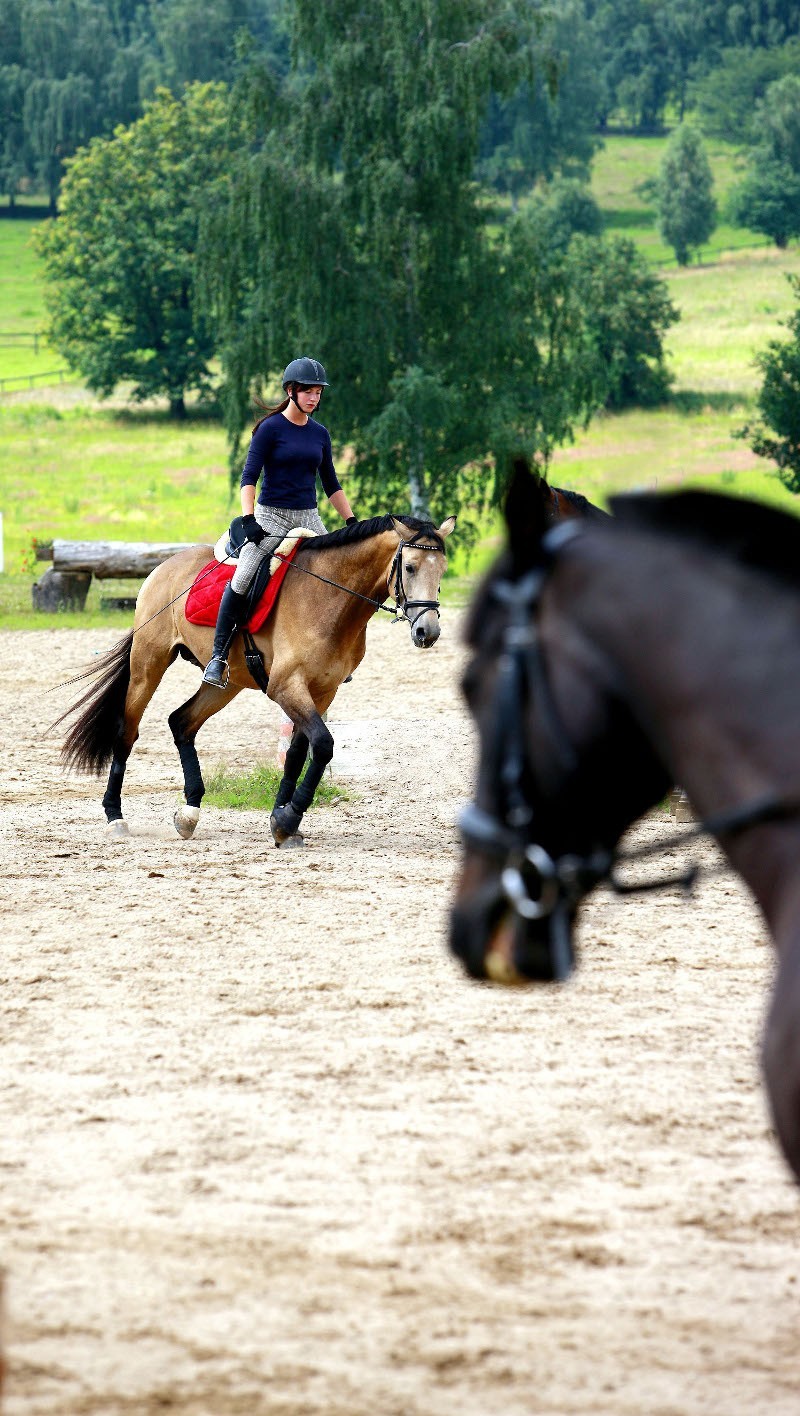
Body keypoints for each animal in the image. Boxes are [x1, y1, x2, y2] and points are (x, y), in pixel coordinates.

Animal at [56, 515, 455, 843]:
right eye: (410, 567)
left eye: (442, 570)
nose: (428, 631)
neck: (331, 597)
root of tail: (164, 566)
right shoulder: (286, 686)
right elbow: (323, 744)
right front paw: (288, 819)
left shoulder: (321, 691)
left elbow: (298, 753)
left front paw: (282, 819)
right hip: (148, 664)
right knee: (127, 731)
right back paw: (115, 817)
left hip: (226, 684)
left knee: (182, 722)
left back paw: (189, 812)